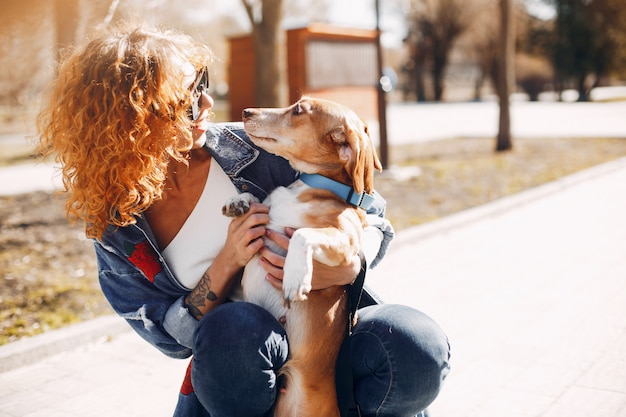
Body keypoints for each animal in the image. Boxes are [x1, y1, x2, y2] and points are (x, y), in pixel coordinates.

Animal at [223, 97, 380, 416]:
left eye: (297, 110)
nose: (246, 111)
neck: (310, 186)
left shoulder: (345, 241)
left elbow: (302, 234)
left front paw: (295, 278)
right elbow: (258, 202)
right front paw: (239, 201)